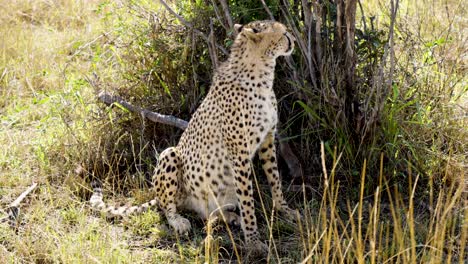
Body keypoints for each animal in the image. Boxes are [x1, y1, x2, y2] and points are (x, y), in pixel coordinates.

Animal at [90, 19, 296, 255]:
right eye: (283, 33)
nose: (293, 39)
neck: (261, 73)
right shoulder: (239, 151)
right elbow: (247, 200)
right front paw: (253, 240)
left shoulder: (268, 140)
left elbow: (275, 178)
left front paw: (284, 210)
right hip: (171, 155)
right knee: (167, 206)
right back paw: (179, 221)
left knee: (209, 214)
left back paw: (230, 217)